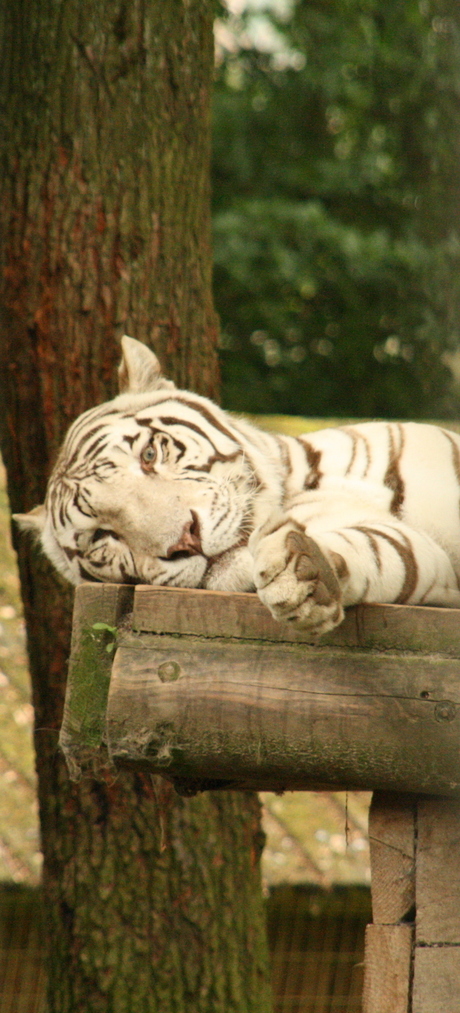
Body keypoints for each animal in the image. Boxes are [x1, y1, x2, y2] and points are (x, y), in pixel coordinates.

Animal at [12, 336, 460, 636]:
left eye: (149, 455)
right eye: (102, 535)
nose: (185, 539)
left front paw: (296, 573)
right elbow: (385, 548)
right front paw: (304, 579)